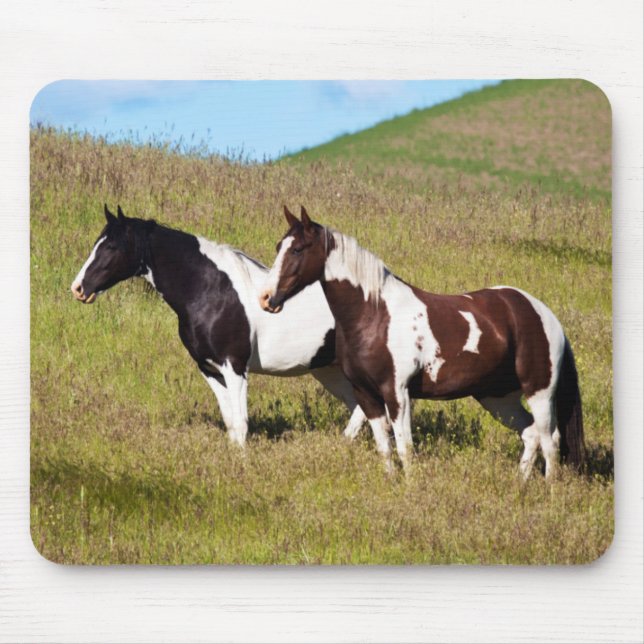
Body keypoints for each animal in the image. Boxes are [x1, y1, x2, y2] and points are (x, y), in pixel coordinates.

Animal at [71, 205, 367, 446]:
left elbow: (241, 424)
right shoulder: (209, 368)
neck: (211, 291)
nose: (79, 288)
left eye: (111, 247)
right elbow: (231, 424)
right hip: (328, 370)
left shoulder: (234, 366)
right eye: (97, 243)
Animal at [259, 206, 585, 479]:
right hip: (497, 396)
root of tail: (543, 314)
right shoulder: (365, 394)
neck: (374, 314)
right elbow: (384, 447)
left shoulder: (398, 393)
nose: (267, 299)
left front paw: (411, 487)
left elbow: (405, 448)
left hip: (539, 391)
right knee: (531, 434)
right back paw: (520, 484)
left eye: (298, 249)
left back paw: (550, 490)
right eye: (278, 247)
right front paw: (392, 483)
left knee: (550, 440)